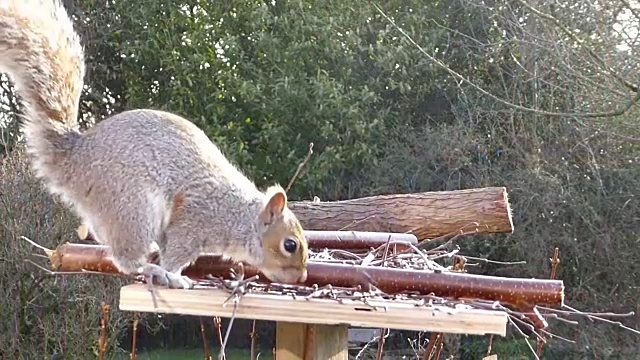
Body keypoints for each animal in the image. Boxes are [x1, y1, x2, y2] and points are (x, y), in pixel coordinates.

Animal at [0, 0, 310, 286]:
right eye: (289, 244)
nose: (301, 278)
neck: (236, 214)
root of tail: (74, 159)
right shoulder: (193, 222)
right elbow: (175, 254)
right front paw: (175, 275)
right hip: (133, 206)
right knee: (126, 260)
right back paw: (154, 270)